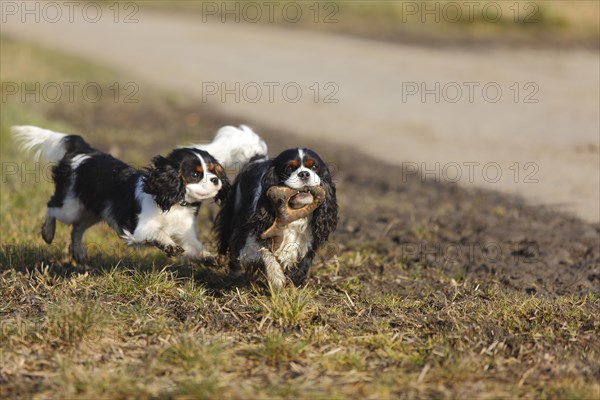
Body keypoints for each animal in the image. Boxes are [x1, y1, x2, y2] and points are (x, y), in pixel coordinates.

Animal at [11, 125, 264, 262]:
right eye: (195, 174)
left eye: (214, 171)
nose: (215, 181)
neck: (175, 203)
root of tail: (84, 150)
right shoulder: (139, 229)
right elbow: (158, 234)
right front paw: (168, 245)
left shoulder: (186, 233)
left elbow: (195, 248)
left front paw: (210, 259)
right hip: (70, 207)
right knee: (52, 207)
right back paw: (47, 233)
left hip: (92, 212)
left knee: (77, 229)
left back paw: (79, 253)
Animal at [216, 147, 338, 288]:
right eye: (289, 168)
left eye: (314, 167)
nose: (304, 174)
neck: (294, 210)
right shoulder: (251, 238)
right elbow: (265, 252)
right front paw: (277, 277)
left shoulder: (306, 242)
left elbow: (302, 263)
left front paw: (293, 283)